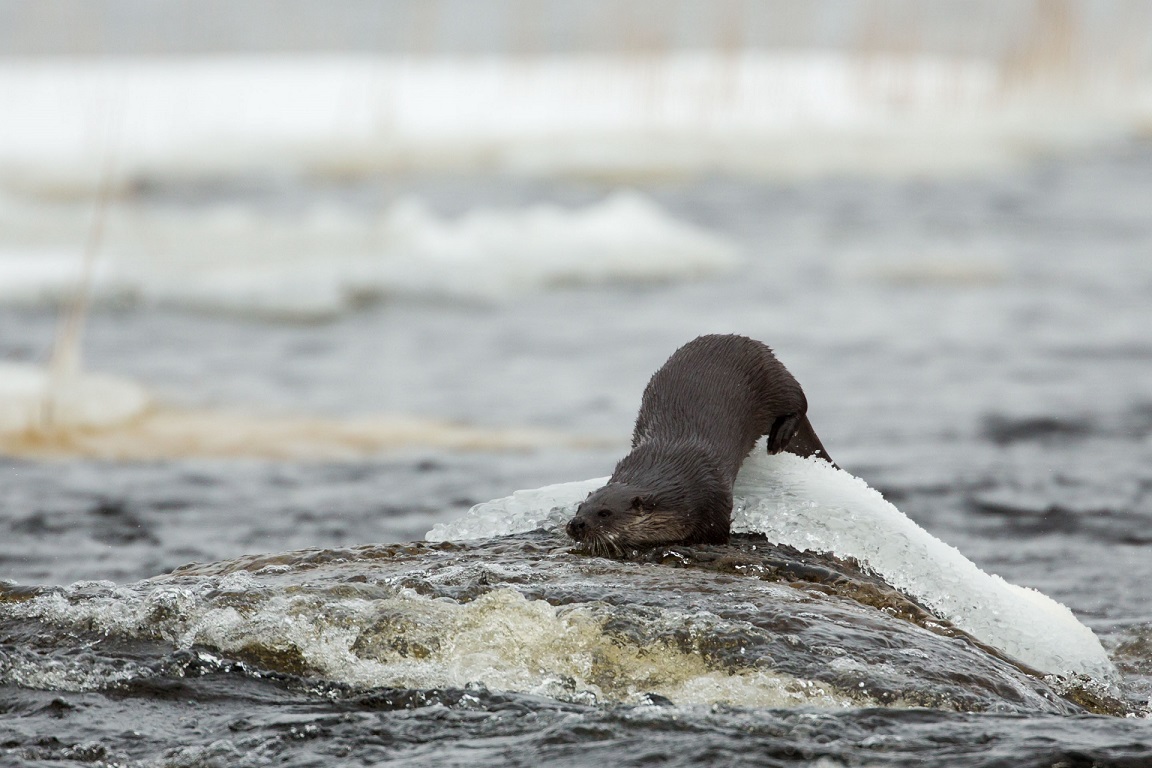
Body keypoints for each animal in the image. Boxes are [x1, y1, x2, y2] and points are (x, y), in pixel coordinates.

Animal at [564, 336, 829, 559]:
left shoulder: (716, 503)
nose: (576, 524)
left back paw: (779, 438)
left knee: (799, 400)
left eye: (605, 513)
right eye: (580, 507)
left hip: (774, 378)